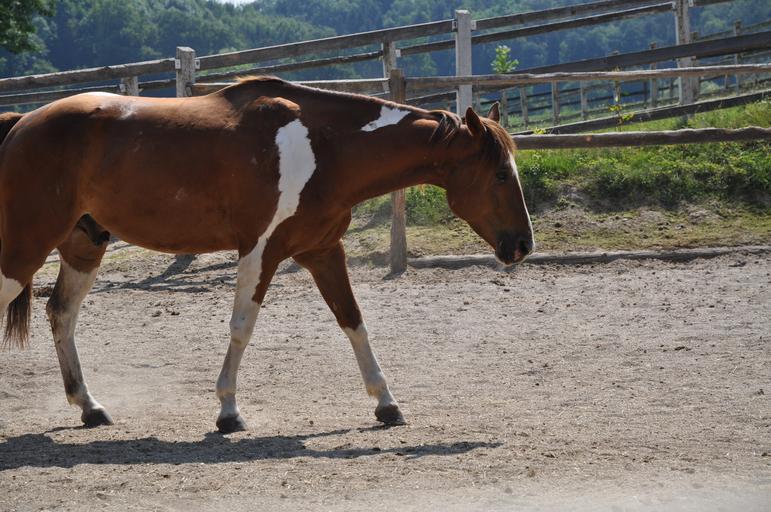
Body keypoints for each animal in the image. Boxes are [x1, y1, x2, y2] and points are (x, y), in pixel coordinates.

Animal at [0, 76, 534, 433]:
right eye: (500, 174)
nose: (523, 245)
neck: (325, 146)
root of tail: (22, 123)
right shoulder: (261, 250)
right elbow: (242, 327)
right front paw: (228, 412)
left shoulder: (322, 250)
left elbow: (353, 321)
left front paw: (387, 403)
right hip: (24, 249)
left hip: (83, 247)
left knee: (61, 314)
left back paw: (90, 408)